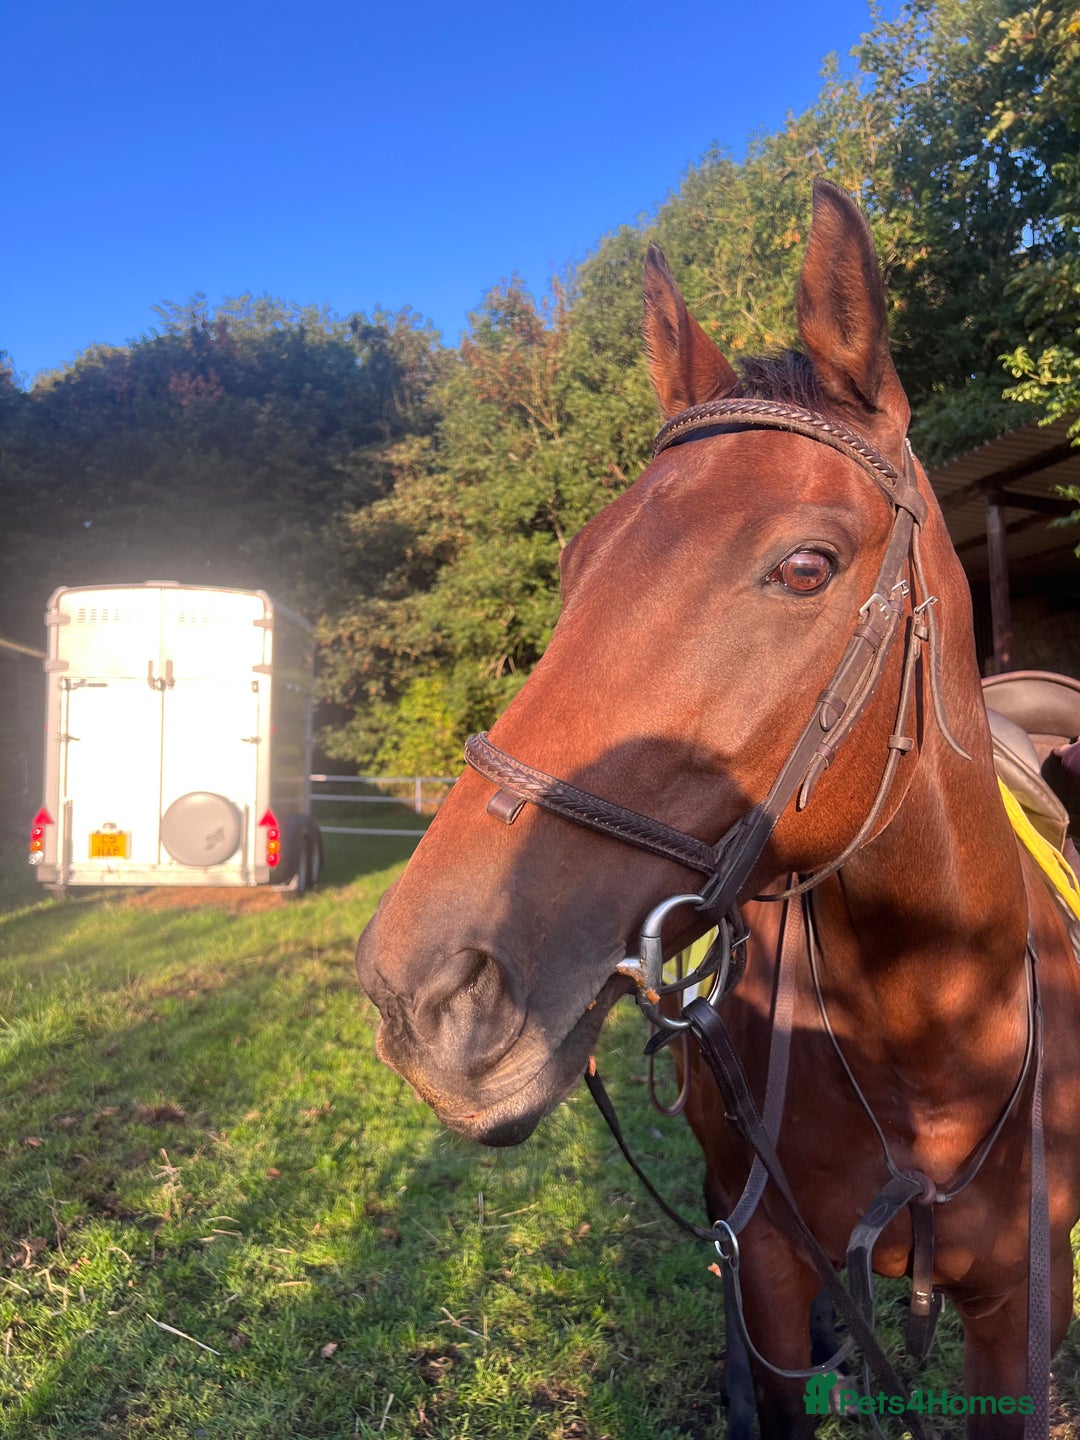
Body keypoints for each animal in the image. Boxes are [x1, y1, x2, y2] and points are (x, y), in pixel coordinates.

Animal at [355, 179, 1080, 1438]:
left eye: (806, 566)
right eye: (577, 567)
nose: (423, 994)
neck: (934, 1023)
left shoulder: (1019, 1319)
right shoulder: (772, 1266)